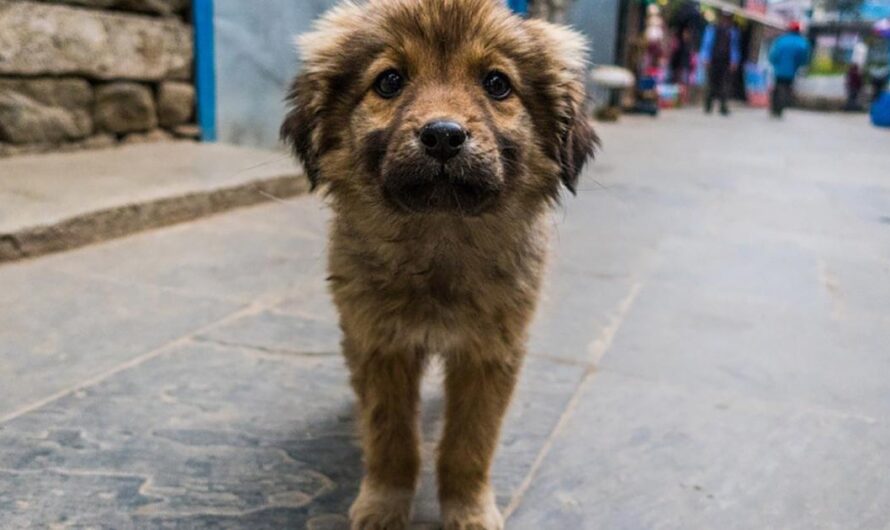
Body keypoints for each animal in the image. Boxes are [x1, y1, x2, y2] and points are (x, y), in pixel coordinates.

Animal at [280, 2, 592, 524]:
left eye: (497, 84)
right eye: (389, 81)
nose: (444, 137)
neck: (438, 241)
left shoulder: (490, 352)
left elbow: (469, 445)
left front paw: (469, 512)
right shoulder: (380, 343)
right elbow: (391, 438)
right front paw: (383, 505)